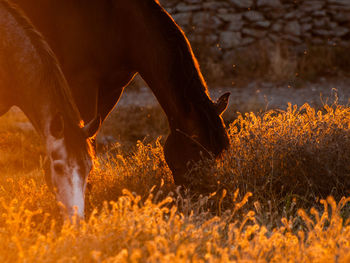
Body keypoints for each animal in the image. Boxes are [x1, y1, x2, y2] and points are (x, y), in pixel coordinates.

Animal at [13, 0, 231, 187]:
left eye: (219, 152)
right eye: (196, 146)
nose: (201, 191)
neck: (119, 21)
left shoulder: (113, 89)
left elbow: (91, 136)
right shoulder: (81, 84)